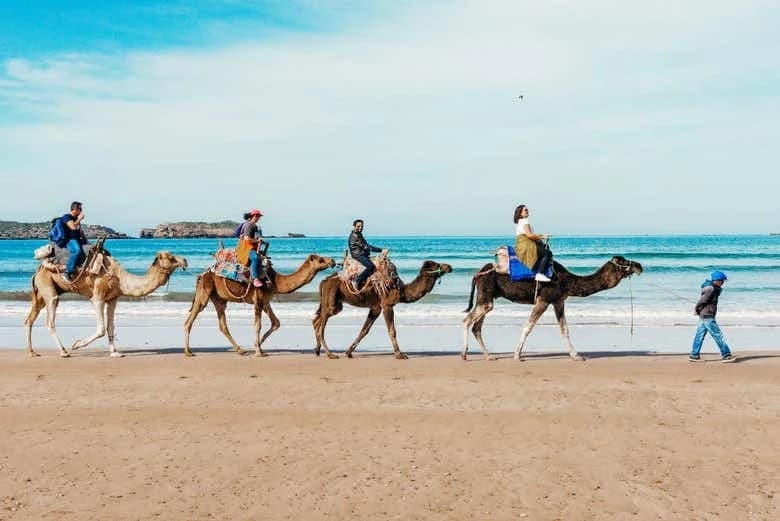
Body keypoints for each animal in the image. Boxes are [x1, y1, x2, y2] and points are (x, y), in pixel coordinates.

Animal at [25, 250, 188, 358]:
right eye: (171, 258)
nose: (185, 260)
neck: (120, 279)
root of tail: (39, 270)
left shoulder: (113, 299)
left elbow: (111, 327)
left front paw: (115, 352)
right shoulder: (98, 298)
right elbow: (101, 329)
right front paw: (77, 344)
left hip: (40, 294)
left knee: (29, 320)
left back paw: (32, 352)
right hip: (48, 288)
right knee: (50, 320)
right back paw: (63, 351)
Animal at [183, 254, 335, 357]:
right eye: (321, 260)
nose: (332, 261)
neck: (275, 281)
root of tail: (202, 275)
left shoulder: (266, 301)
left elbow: (276, 322)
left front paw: (259, 346)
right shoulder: (258, 299)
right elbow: (257, 325)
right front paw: (258, 351)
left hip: (219, 299)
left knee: (223, 325)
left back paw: (240, 349)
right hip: (204, 292)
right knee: (190, 320)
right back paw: (188, 352)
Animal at [312, 260, 453, 359]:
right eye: (436, 265)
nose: (449, 267)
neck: (401, 290)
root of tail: (323, 282)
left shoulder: (376, 308)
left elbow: (364, 330)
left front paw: (349, 352)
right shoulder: (387, 305)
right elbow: (392, 330)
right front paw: (400, 354)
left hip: (333, 302)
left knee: (317, 320)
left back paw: (317, 350)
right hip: (332, 301)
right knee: (321, 326)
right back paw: (330, 354)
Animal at [461, 256, 643, 361]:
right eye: (623, 262)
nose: (639, 266)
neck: (565, 281)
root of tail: (478, 273)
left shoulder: (558, 301)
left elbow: (565, 329)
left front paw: (576, 356)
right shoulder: (544, 299)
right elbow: (528, 326)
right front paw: (517, 355)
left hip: (487, 298)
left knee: (477, 327)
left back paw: (489, 356)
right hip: (486, 296)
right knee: (467, 320)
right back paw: (464, 354)